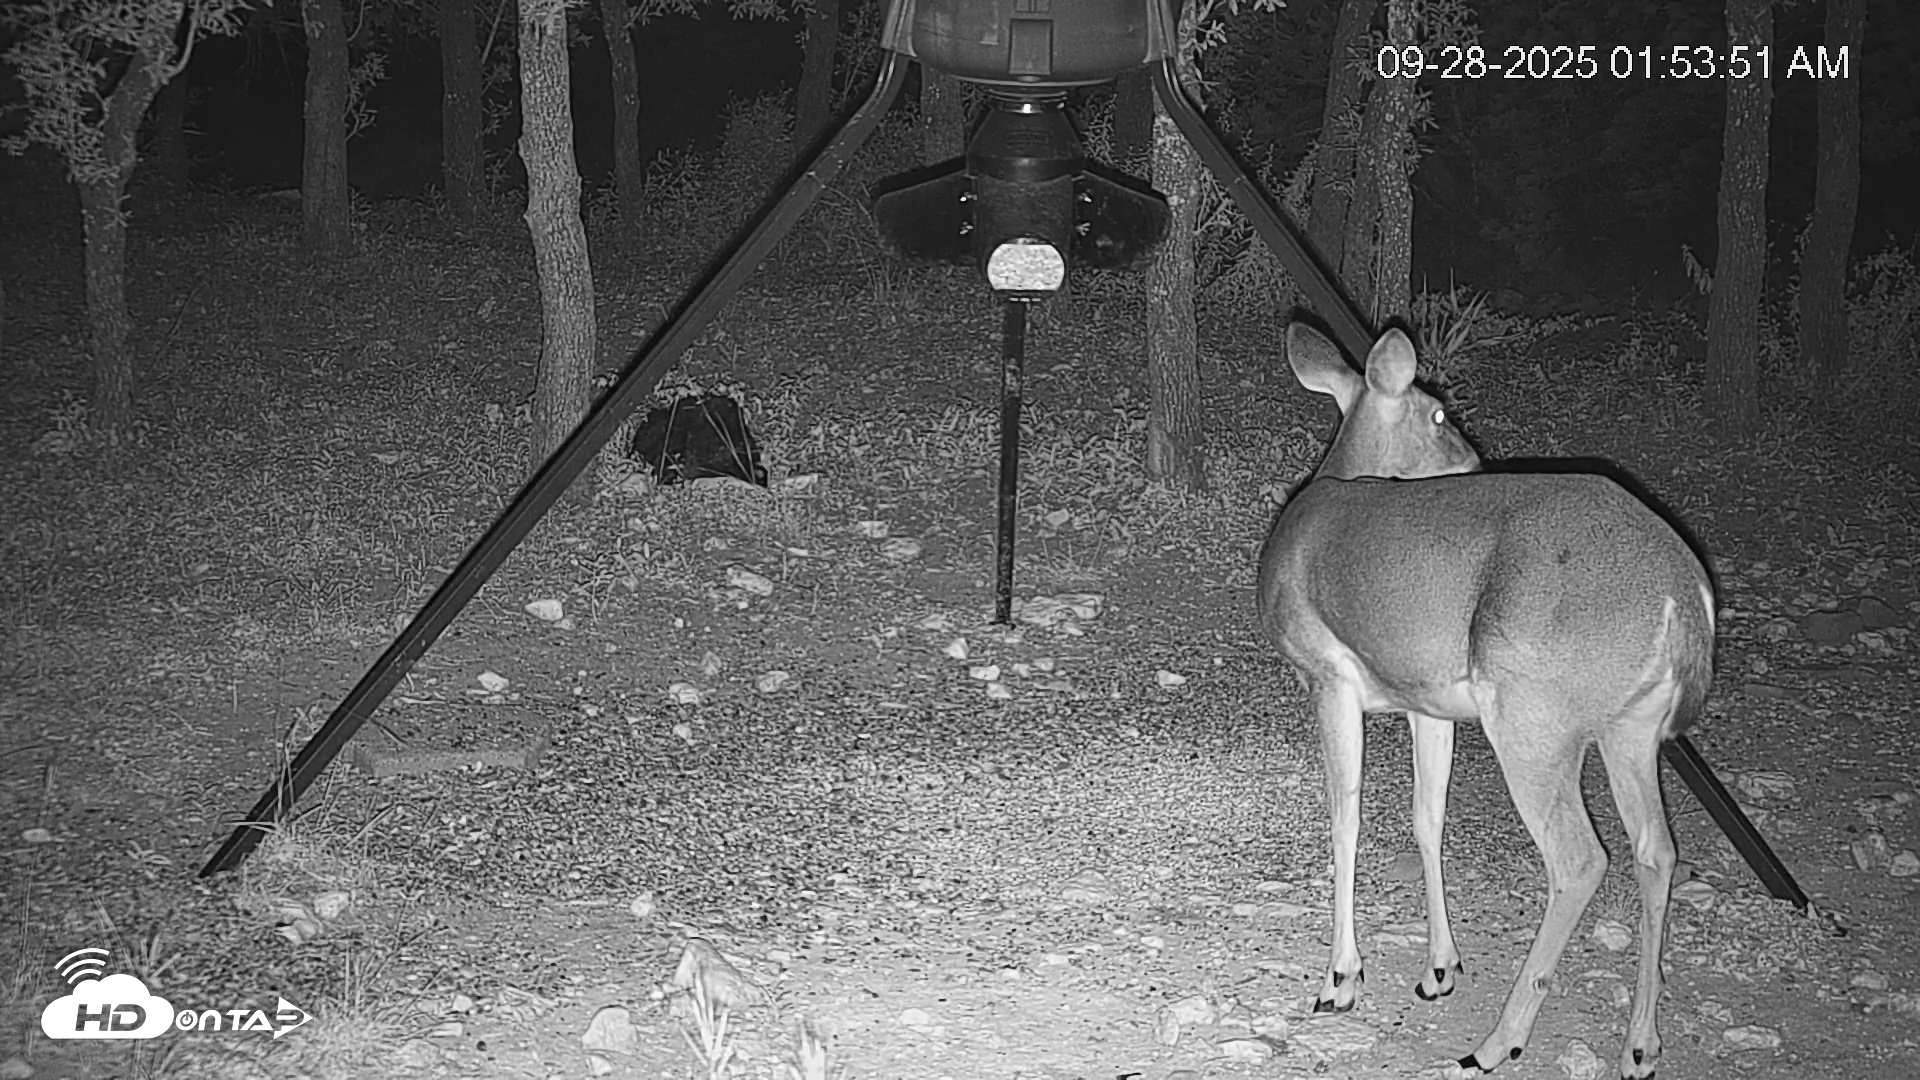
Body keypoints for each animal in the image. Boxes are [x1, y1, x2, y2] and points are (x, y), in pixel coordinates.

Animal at [1257, 324, 1715, 1079]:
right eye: (1440, 414)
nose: (1474, 461)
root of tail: (1686, 593)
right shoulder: (1426, 699)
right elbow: (1427, 817)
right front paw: (1439, 969)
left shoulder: (1328, 675)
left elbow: (1345, 817)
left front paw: (1340, 979)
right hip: (1631, 725)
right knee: (1657, 850)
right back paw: (1640, 1045)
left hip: (1533, 715)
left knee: (1581, 859)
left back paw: (1500, 1040)